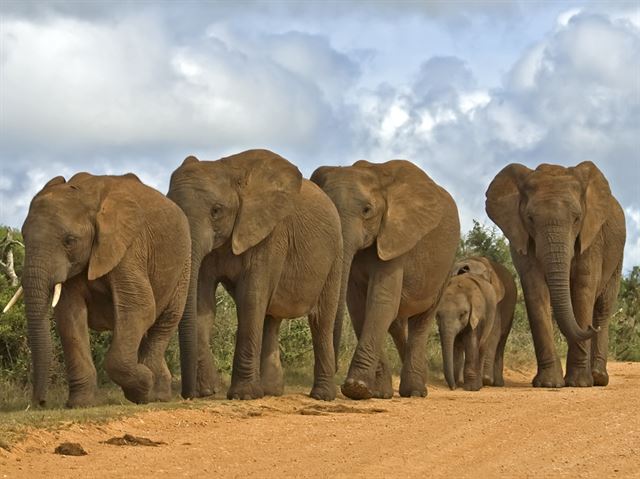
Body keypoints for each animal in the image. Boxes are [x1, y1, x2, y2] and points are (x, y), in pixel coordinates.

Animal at [7, 173, 190, 408]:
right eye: (23, 236)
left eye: (69, 241)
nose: (40, 402)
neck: (88, 196)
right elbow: (69, 315)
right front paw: (79, 404)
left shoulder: (129, 247)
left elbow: (139, 306)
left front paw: (141, 389)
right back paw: (158, 391)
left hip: (184, 265)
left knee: (165, 321)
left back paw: (154, 395)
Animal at [168, 149, 342, 402]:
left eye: (216, 211)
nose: (189, 396)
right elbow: (203, 304)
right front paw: (208, 390)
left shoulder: (270, 235)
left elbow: (251, 298)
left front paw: (243, 395)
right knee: (271, 318)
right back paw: (270, 391)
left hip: (335, 256)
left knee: (321, 321)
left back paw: (322, 396)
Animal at [312, 159, 458, 400]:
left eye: (367, 210)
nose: (335, 369)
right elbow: (360, 308)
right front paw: (375, 392)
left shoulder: (396, 239)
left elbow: (381, 302)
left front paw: (356, 388)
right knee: (397, 323)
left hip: (445, 268)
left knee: (422, 322)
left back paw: (415, 392)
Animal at [438, 256, 516, 392]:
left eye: (463, 314)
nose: (452, 387)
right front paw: (460, 383)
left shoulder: (494, 305)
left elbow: (489, 336)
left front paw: (479, 384)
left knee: (499, 341)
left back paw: (492, 382)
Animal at [488, 163, 624, 388]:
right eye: (530, 219)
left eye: (577, 218)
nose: (590, 328)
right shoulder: (522, 237)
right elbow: (535, 290)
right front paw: (549, 384)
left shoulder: (592, 238)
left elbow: (583, 288)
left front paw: (579, 384)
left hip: (617, 257)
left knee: (602, 308)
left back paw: (597, 377)